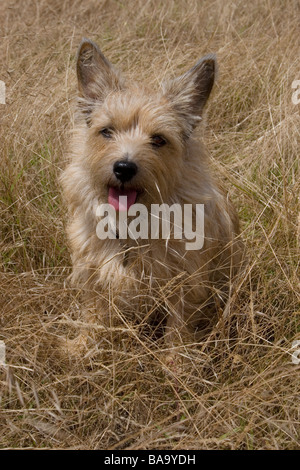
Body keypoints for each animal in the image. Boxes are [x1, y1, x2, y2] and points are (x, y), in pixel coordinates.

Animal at [61, 37, 241, 346]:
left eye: (158, 139)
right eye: (106, 131)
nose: (124, 167)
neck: (130, 230)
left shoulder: (186, 283)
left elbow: (178, 331)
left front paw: (175, 360)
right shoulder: (92, 272)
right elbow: (93, 315)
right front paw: (81, 347)